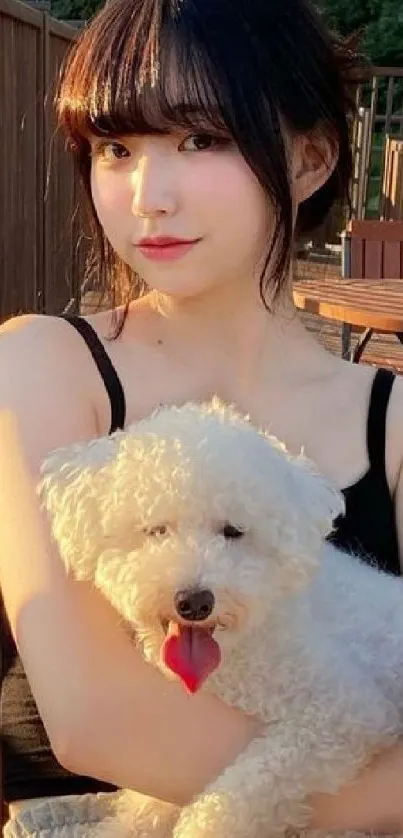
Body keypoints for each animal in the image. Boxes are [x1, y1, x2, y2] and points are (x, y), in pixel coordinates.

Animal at [38, 400, 403, 838]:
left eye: (233, 531)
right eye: (156, 529)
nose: (195, 602)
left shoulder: (343, 713)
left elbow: (244, 789)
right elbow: (148, 804)